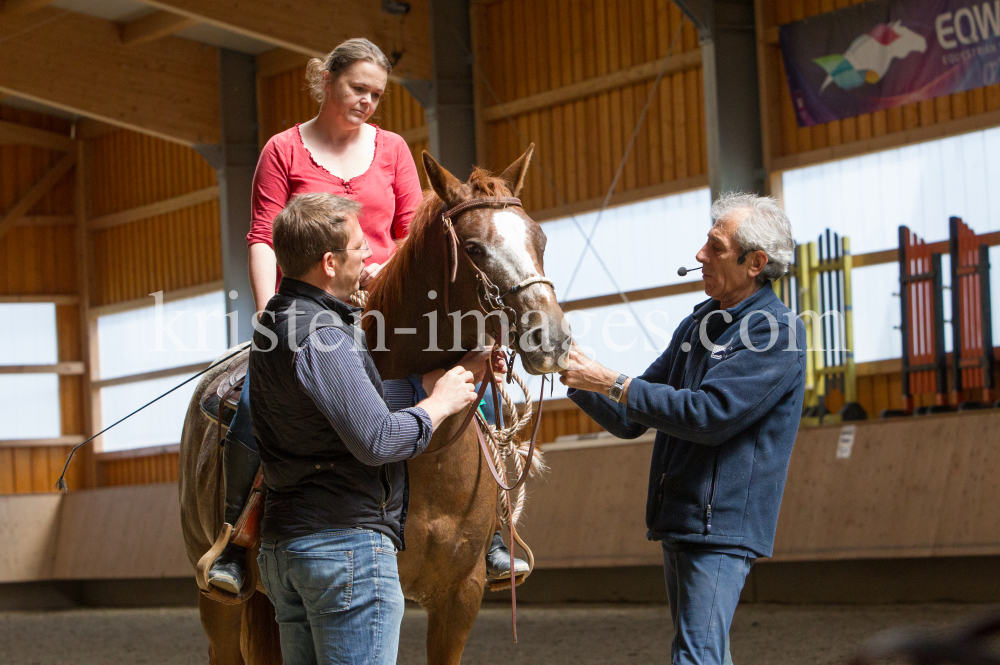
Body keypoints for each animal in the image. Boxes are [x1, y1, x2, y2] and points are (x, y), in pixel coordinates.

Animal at [180, 147, 572, 664]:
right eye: (473, 248)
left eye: (540, 239)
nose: (553, 338)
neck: (432, 458)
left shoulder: (459, 598)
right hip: (217, 604)